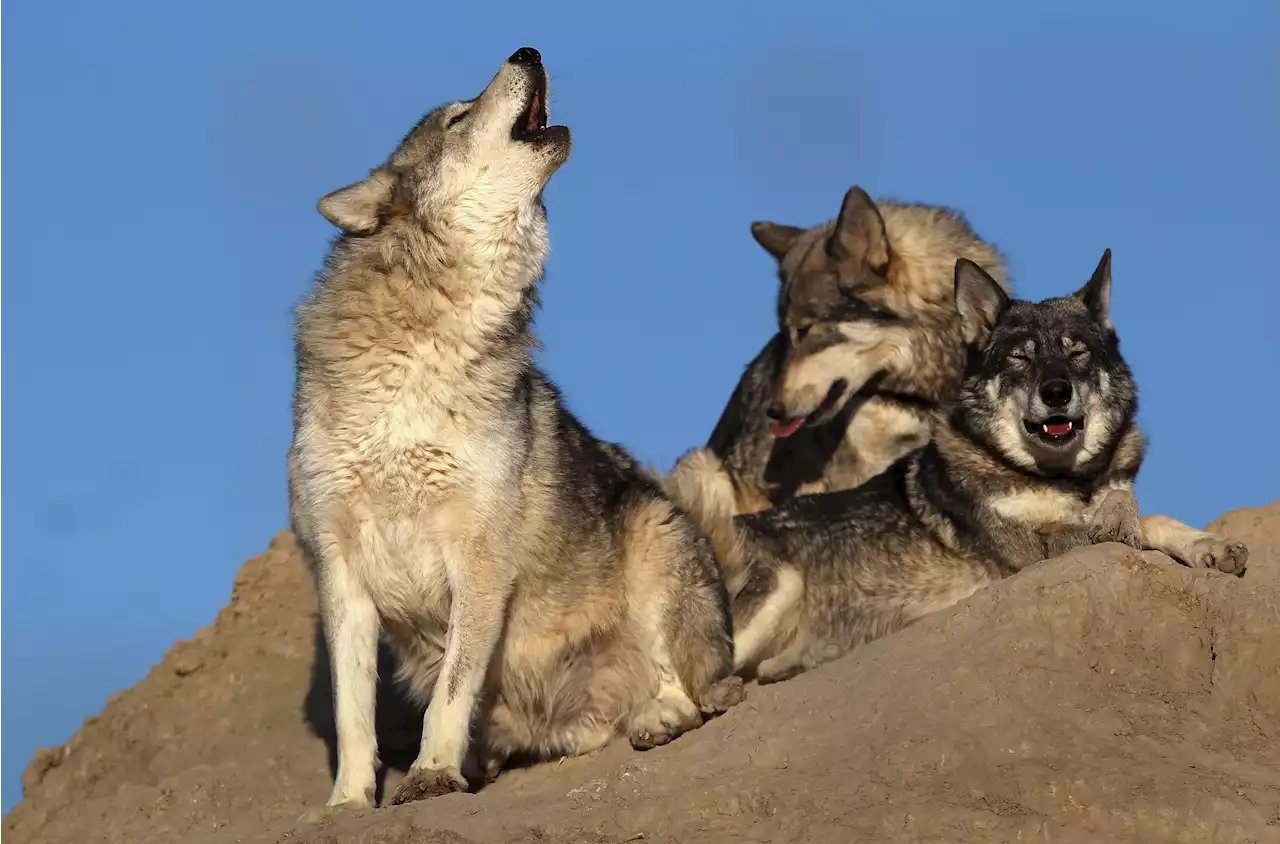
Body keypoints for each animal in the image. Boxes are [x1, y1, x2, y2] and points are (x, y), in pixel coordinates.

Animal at [284, 46, 737, 819]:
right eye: (457, 118)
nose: (528, 50)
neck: (421, 355)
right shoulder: (339, 573)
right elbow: (351, 714)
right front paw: (347, 803)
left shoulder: (478, 562)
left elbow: (450, 691)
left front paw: (431, 774)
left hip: (653, 539)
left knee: (691, 694)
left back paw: (657, 716)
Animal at [670, 247, 1249, 681]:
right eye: (1020, 357)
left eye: (1076, 351)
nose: (1056, 393)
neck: (1063, 479)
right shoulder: (1034, 552)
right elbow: (1134, 521)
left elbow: (1149, 513)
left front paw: (1210, 545)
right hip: (777, 582)